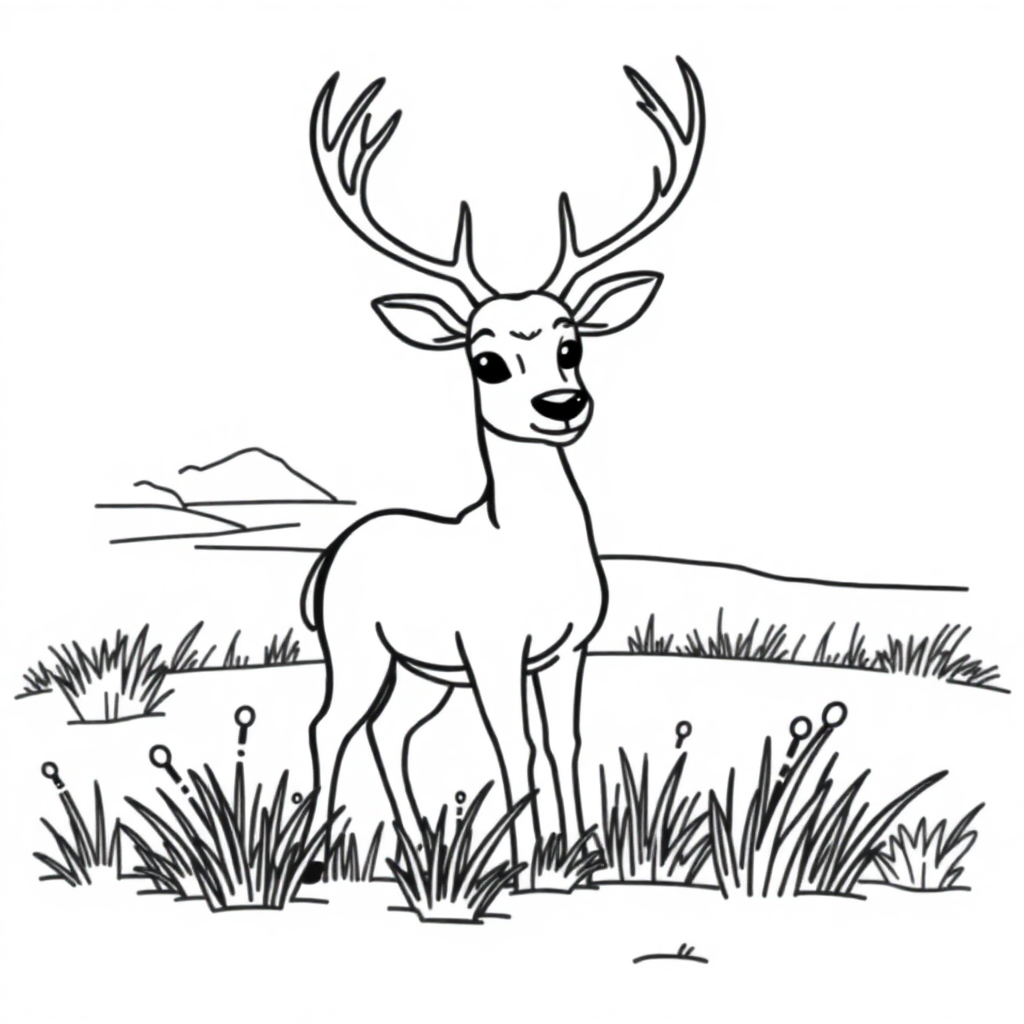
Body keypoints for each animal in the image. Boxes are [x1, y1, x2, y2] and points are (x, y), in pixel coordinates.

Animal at [302, 57, 705, 884]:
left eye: (571, 344)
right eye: (485, 360)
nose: (562, 404)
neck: (525, 554)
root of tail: (326, 561)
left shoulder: (569, 647)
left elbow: (563, 743)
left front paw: (578, 855)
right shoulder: (490, 651)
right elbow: (511, 747)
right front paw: (520, 867)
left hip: (420, 672)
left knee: (390, 732)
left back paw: (419, 847)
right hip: (357, 648)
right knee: (330, 726)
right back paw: (319, 859)